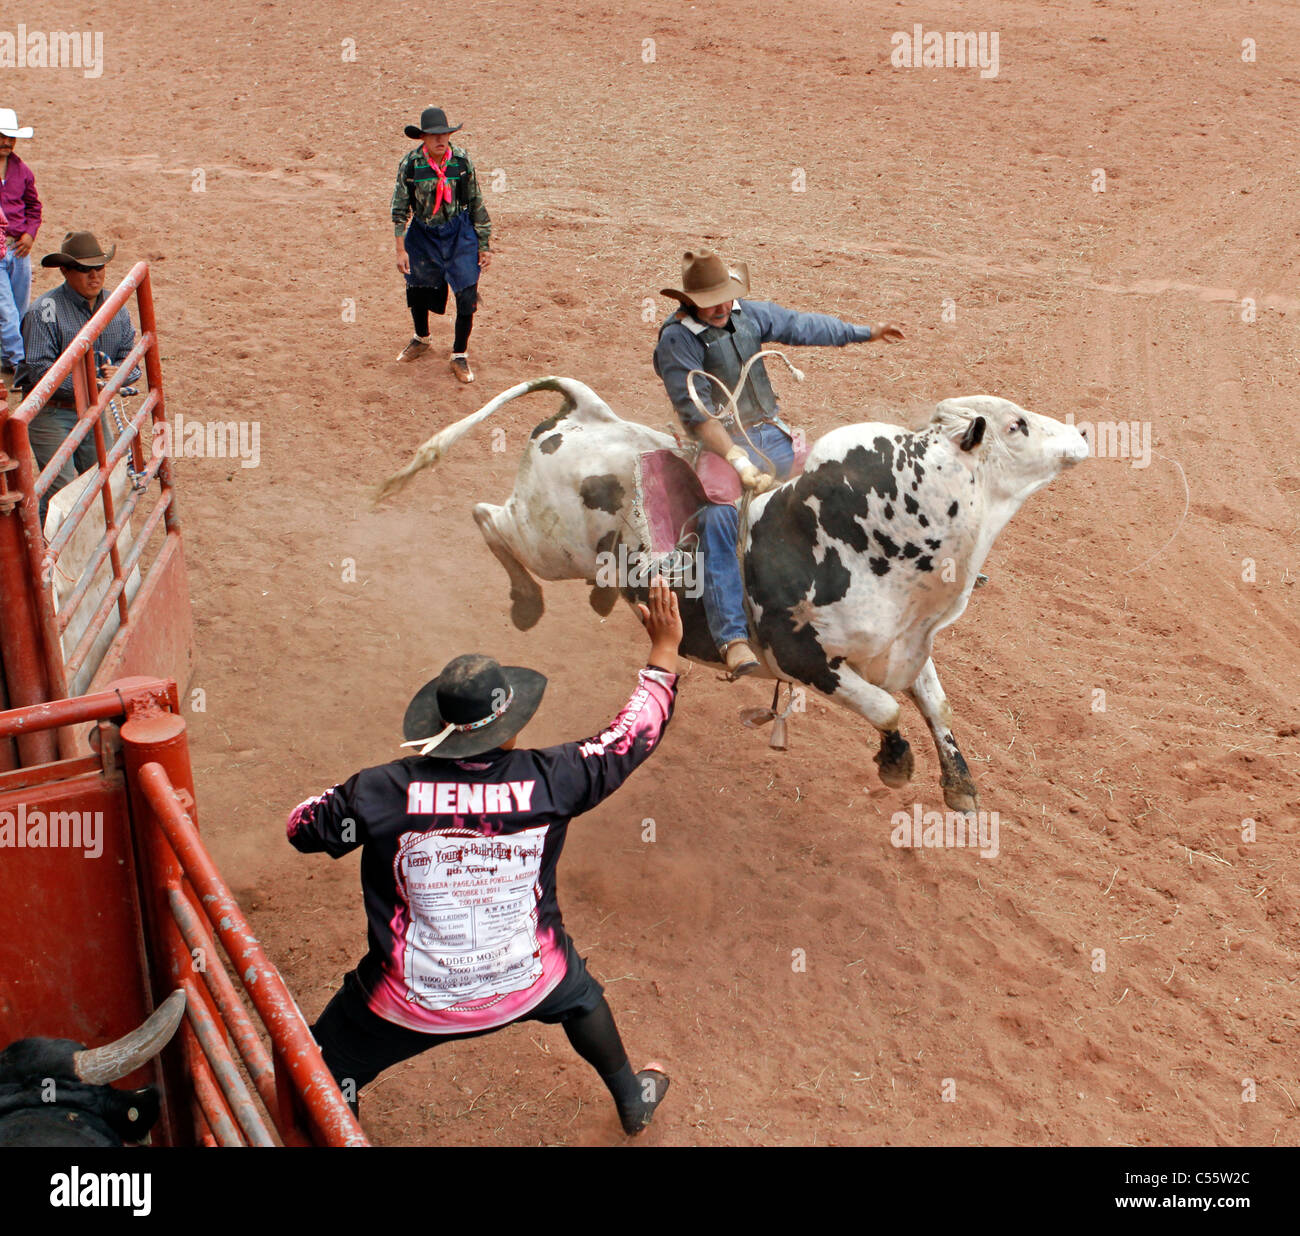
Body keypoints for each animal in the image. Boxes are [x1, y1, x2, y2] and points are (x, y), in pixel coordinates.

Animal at [378, 378, 1088, 810]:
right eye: (1018, 425)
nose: (1080, 434)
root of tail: (585, 414)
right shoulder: (804, 655)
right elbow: (885, 708)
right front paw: (895, 759)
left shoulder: (903, 647)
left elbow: (935, 703)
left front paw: (959, 785)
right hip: (543, 541)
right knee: (487, 518)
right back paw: (524, 601)